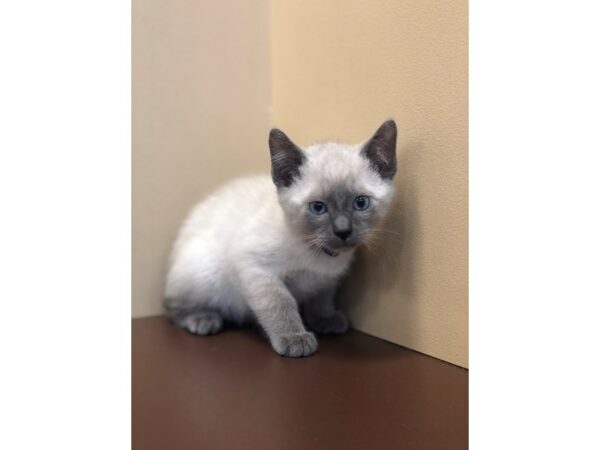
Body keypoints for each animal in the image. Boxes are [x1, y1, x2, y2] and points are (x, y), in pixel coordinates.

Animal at [165, 120, 398, 358]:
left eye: (360, 203)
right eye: (318, 207)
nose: (343, 231)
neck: (319, 255)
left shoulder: (326, 280)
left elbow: (321, 300)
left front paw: (325, 319)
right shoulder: (256, 268)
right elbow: (280, 304)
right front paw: (294, 338)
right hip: (203, 271)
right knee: (173, 305)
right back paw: (202, 319)